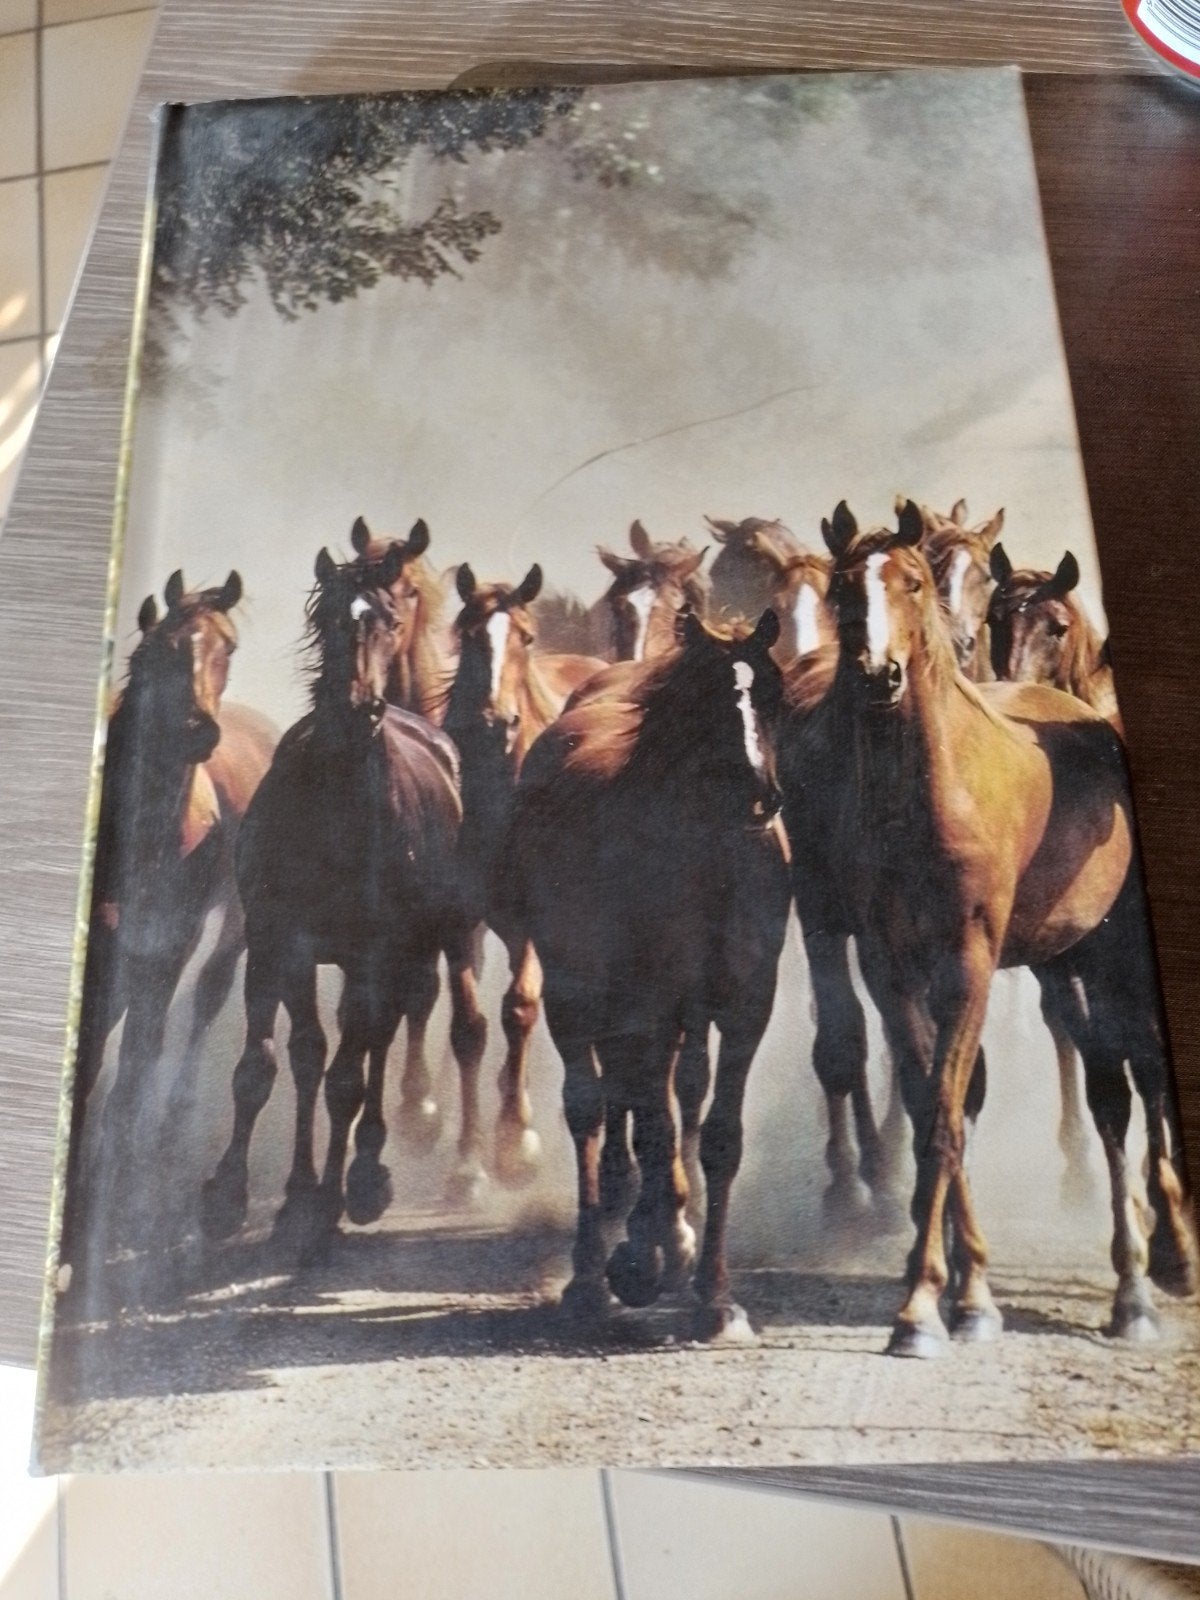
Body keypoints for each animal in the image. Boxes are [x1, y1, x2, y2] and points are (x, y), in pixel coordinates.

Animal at [63, 570, 277, 1257]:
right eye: (160, 649)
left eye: (227, 647)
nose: (196, 730)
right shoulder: (112, 949)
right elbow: (96, 1057)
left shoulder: (164, 947)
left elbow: (135, 1062)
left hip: (236, 923)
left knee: (207, 994)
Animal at [200, 542, 478, 1244]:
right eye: (325, 616)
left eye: (388, 618)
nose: (356, 707)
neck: (334, 803)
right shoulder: (278, 944)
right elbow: (274, 1064)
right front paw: (238, 1195)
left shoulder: (374, 957)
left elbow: (346, 1077)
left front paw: (323, 1203)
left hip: (415, 949)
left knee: (376, 1047)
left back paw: (365, 1176)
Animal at [441, 562, 607, 1194]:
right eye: (467, 636)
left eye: (526, 637)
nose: (496, 722)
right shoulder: (459, 922)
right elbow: (469, 1027)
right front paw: (468, 1161)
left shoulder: (538, 924)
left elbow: (518, 1010)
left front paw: (516, 1144)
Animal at [495, 610, 790, 1339]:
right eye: (707, 703)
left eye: (774, 697)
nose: (760, 798)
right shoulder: (646, 1005)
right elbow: (646, 1118)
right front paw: (647, 1254)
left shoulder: (745, 1006)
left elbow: (718, 1136)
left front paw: (715, 1298)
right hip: (579, 997)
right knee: (592, 1107)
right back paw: (592, 1275)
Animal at [784, 498, 1192, 1355]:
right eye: (842, 589)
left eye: (910, 583)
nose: (878, 673)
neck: (929, 799)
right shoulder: (890, 965)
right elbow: (930, 1103)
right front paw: (948, 1290)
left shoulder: (969, 962)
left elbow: (946, 1113)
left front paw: (939, 1305)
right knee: (1107, 1089)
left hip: (1104, 957)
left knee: (1126, 1086)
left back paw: (1143, 1282)